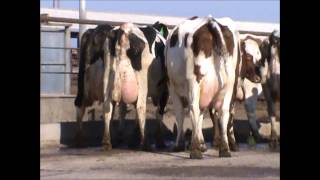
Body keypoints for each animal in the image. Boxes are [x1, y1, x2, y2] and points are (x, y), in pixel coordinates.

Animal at [74, 22, 170, 150]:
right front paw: (159, 141)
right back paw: (145, 143)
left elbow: (123, 111)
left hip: (97, 82)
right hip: (142, 83)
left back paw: (98, 141)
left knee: (95, 107)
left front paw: (132, 138)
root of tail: (123, 29)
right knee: (140, 107)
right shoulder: (164, 92)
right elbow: (159, 113)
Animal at [164, 15, 262, 159]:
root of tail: (210, 22)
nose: (259, 77)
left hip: (194, 83)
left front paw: (182, 144)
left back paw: (196, 150)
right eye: (249, 57)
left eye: (260, 57)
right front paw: (209, 143)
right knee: (223, 112)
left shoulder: (173, 87)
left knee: (194, 109)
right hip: (227, 85)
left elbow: (181, 115)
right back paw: (224, 149)